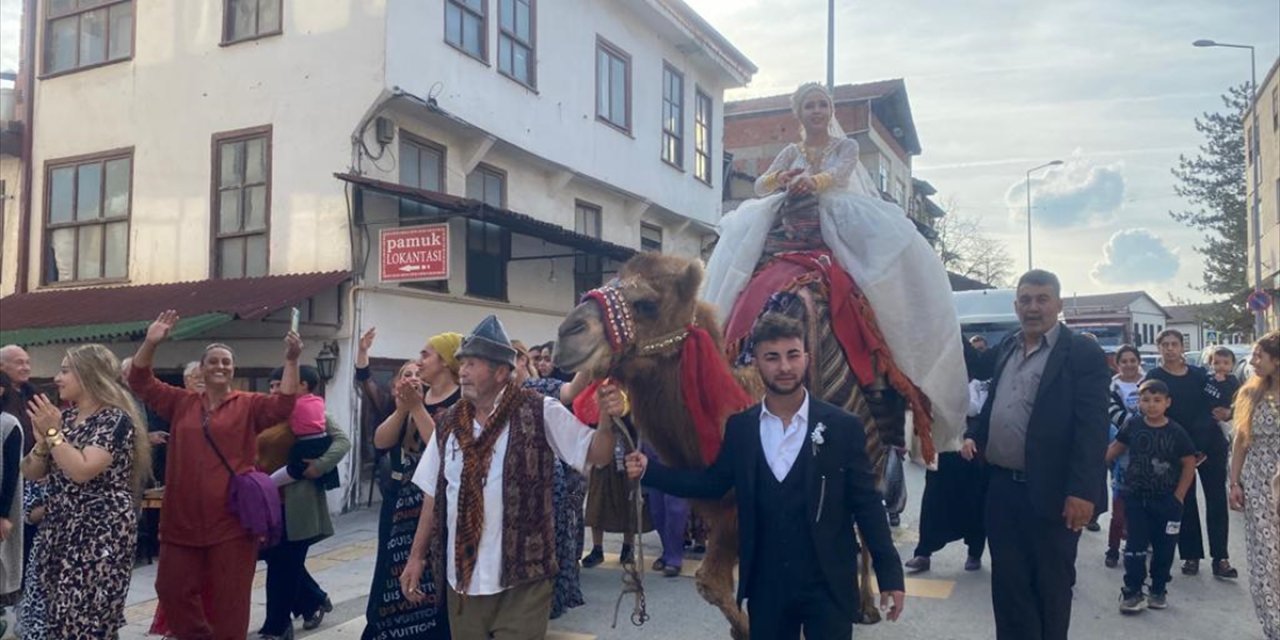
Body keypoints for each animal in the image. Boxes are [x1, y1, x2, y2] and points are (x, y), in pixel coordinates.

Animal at [555, 252, 906, 637]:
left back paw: (866, 607)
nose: (567, 333)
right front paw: (742, 629)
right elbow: (711, 582)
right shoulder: (729, 508)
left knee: (866, 523)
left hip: (871, 458)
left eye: (647, 303)